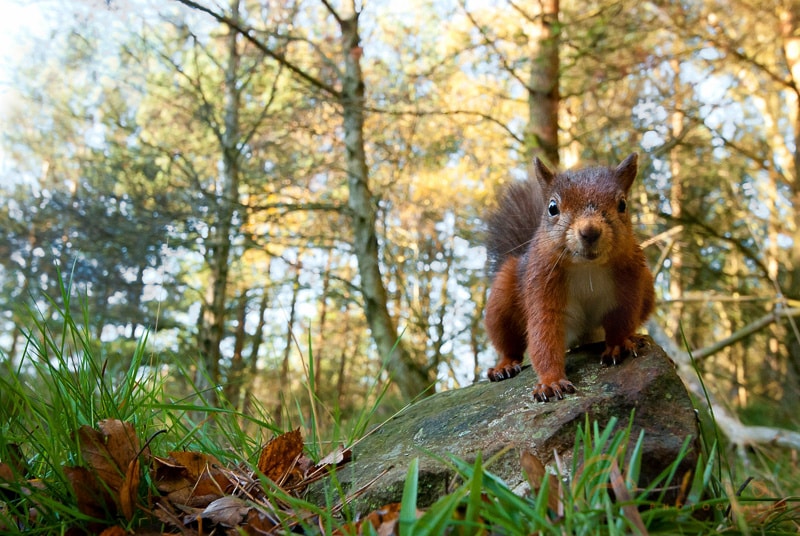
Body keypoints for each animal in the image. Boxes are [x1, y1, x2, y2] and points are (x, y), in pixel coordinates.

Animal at [484, 153, 655, 402]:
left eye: (623, 204)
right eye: (552, 207)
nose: (590, 231)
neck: (587, 267)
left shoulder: (630, 280)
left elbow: (621, 318)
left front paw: (620, 344)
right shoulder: (541, 284)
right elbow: (544, 335)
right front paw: (551, 382)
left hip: (648, 285)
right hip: (501, 301)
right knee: (509, 344)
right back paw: (504, 365)